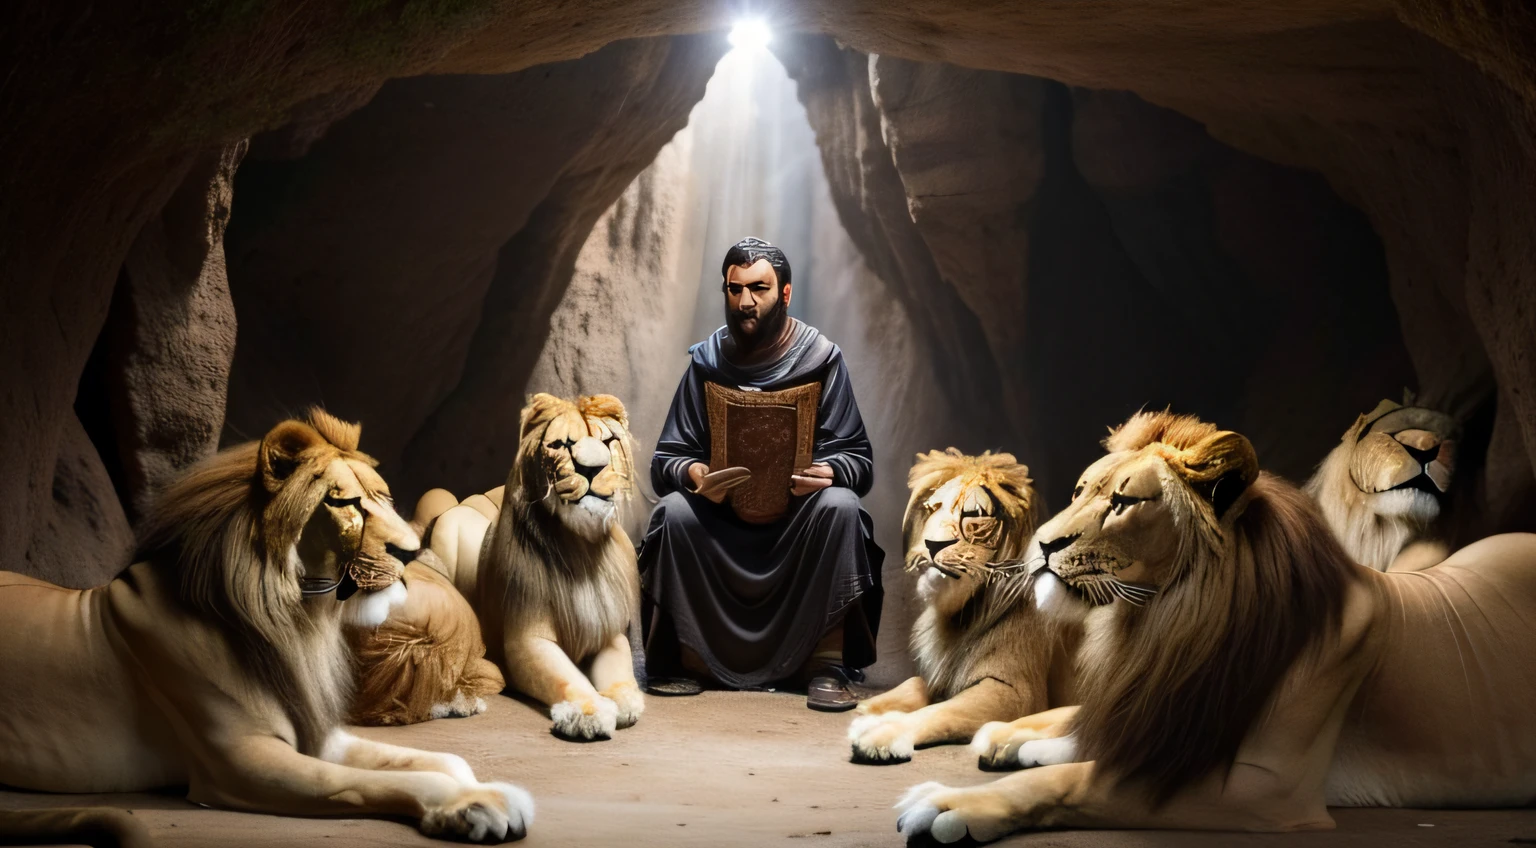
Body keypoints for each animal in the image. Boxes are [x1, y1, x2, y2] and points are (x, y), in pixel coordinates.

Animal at [0, 408, 534, 841]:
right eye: (346, 504)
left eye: (384, 497)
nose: (411, 552)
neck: (300, 623)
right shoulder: (242, 762)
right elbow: (383, 781)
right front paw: (473, 805)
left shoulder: (316, 730)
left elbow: (443, 760)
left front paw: (486, 791)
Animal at [841, 451, 1081, 761]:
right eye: (932, 508)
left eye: (974, 515)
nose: (931, 545)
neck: (961, 614)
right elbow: (917, 682)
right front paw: (873, 705)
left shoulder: (1016, 690)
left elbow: (940, 711)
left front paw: (880, 731)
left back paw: (1004, 742)